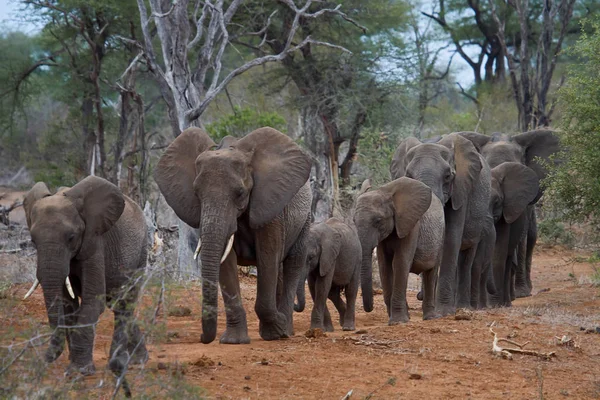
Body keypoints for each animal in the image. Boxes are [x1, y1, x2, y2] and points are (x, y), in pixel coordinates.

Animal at [22, 175, 148, 376]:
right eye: (33, 241)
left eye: (71, 237)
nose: (44, 360)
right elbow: (68, 305)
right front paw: (74, 365)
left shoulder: (94, 242)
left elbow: (92, 301)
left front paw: (79, 371)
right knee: (116, 303)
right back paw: (137, 360)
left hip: (141, 253)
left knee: (124, 302)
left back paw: (119, 364)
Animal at [155, 127, 312, 344]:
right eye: (196, 194)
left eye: (240, 193)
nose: (203, 337)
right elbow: (225, 262)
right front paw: (234, 341)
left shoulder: (270, 207)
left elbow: (267, 256)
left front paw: (276, 331)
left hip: (305, 221)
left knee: (292, 264)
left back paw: (285, 331)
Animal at [390, 134, 492, 316]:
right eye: (408, 174)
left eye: (448, 176)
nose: (418, 296)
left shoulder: (461, 190)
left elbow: (451, 239)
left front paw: (444, 312)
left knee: (467, 256)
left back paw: (462, 307)